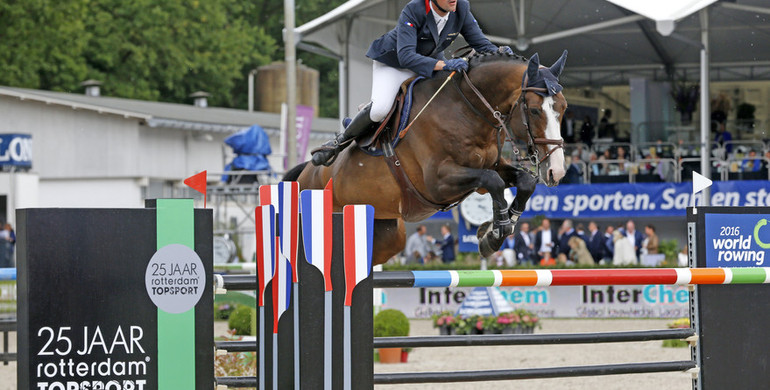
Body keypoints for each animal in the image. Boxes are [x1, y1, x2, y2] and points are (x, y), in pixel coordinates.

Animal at [282, 51, 564, 266]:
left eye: (563, 109)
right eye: (535, 110)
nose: (557, 171)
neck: (467, 109)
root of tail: (304, 173)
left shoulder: (490, 167)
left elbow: (524, 182)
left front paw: (496, 231)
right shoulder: (437, 183)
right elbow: (492, 180)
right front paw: (497, 231)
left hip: (388, 234)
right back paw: (327, 151)